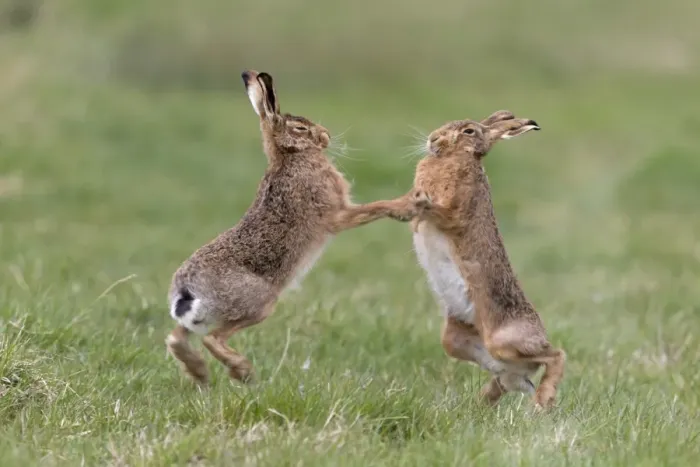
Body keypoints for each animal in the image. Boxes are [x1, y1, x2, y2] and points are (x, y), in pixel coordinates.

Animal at [165, 70, 422, 385]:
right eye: (300, 128)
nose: (326, 136)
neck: (290, 156)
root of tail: (186, 292)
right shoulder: (336, 215)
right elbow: (374, 207)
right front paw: (408, 204)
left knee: (176, 338)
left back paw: (200, 372)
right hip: (258, 303)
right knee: (213, 339)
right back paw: (243, 371)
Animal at [409, 110, 565, 408]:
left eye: (469, 131)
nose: (433, 138)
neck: (460, 157)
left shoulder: (456, 210)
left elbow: (439, 212)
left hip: (504, 341)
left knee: (557, 355)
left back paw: (542, 402)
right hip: (458, 341)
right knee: (505, 377)